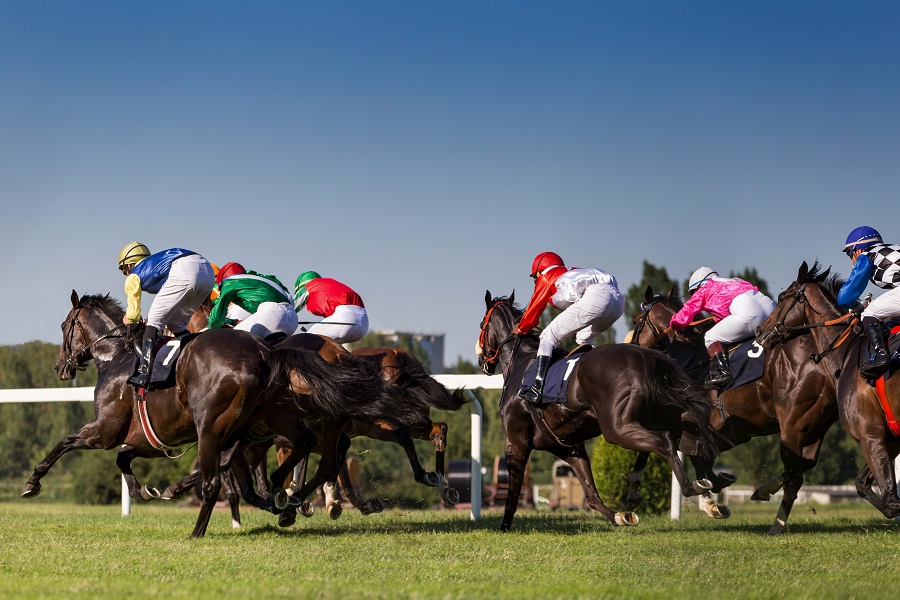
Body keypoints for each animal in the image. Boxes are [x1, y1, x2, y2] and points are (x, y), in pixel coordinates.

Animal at [474, 290, 720, 528]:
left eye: (481, 324)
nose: (482, 359)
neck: (521, 363)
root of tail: (646, 356)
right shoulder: (568, 447)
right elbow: (590, 494)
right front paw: (619, 517)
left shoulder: (516, 442)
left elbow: (513, 491)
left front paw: (504, 525)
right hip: (659, 416)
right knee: (692, 439)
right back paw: (713, 487)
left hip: (616, 428)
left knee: (665, 441)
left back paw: (693, 487)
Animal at [628, 284, 840, 532]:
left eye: (636, 320)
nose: (632, 348)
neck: (692, 359)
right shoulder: (722, 430)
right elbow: (693, 455)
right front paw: (711, 493)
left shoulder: (695, 421)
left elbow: (681, 452)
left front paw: (709, 497)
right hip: (817, 424)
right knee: (803, 464)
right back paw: (764, 491)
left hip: (793, 424)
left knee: (795, 473)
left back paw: (776, 524)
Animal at [756, 262, 900, 520]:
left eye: (782, 298)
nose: (759, 332)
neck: (848, 351)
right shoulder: (890, 438)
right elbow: (863, 485)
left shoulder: (871, 436)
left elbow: (890, 500)